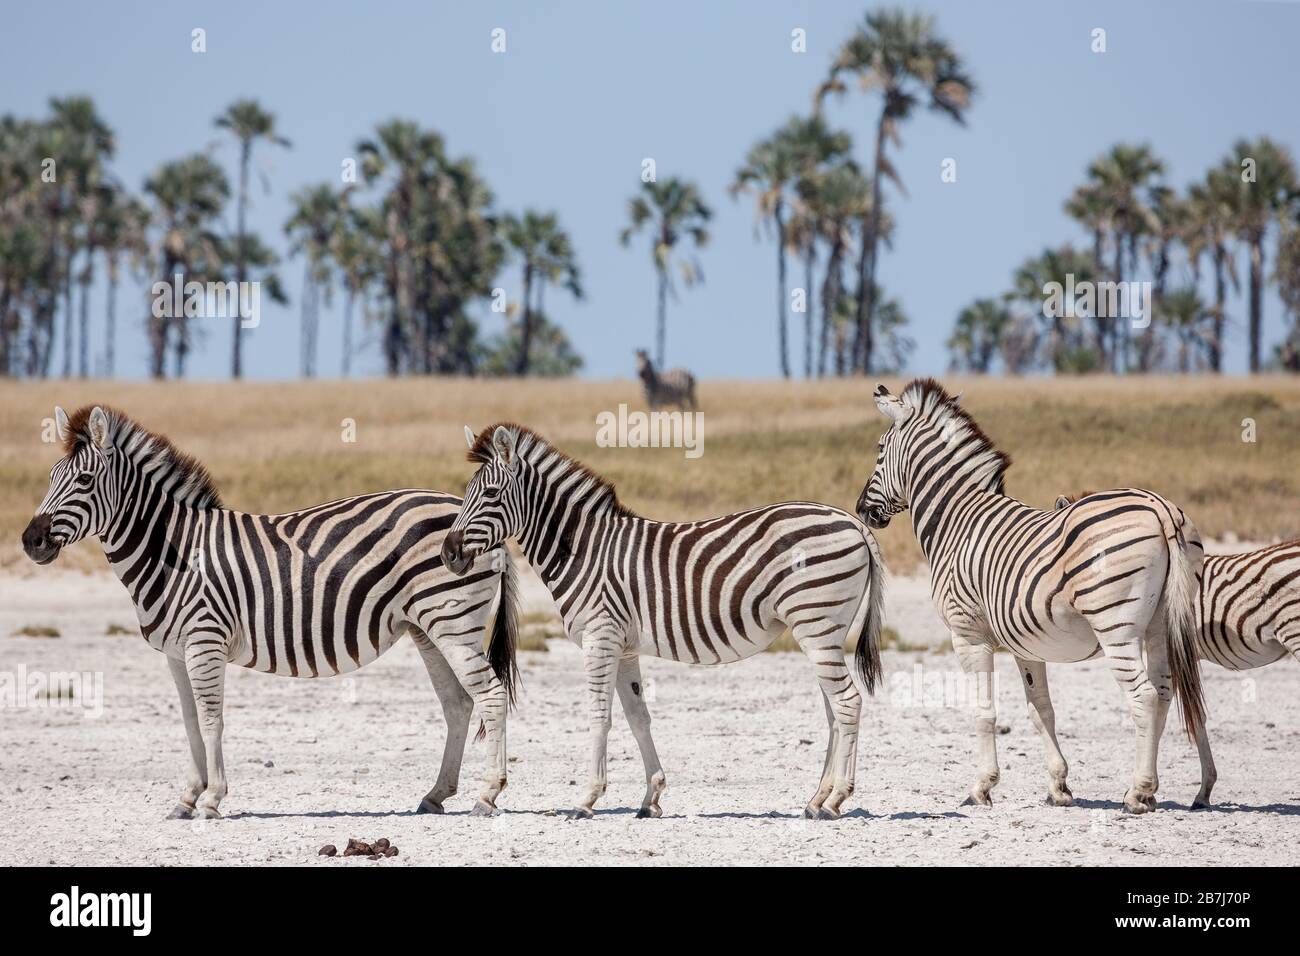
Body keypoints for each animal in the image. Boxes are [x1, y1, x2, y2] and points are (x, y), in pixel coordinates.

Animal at [20, 404, 520, 819]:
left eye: (83, 482)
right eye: (51, 476)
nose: (30, 541)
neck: (173, 552)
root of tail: (465, 513)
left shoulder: (205, 642)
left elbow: (211, 719)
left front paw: (212, 799)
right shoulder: (177, 652)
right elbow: (188, 721)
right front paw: (187, 797)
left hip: (453, 622)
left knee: (492, 696)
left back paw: (487, 795)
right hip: (429, 628)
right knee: (459, 702)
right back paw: (436, 794)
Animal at [440, 423, 884, 819]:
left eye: (491, 494)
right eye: (466, 492)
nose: (447, 554)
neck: (584, 550)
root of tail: (852, 520)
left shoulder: (600, 638)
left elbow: (599, 715)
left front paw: (587, 799)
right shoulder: (623, 647)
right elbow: (638, 717)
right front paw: (651, 796)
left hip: (817, 626)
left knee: (848, 703)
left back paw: (836, 798)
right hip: (824, 632)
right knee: (835, 710)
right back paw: (817, 798)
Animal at [857, 380, 1206, 814]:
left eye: (878, 450)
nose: (861, 510)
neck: (957, 520)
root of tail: (1159, 507)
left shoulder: (967, 634)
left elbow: (984, 711)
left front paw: (982, 787)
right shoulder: (1026, 645)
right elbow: (1041, 710)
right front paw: (1059, 786)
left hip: (1116, 627)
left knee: (1142, 697)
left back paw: (1137, 792)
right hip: (1161, 624)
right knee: (1162, 693)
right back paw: (1150, 790)